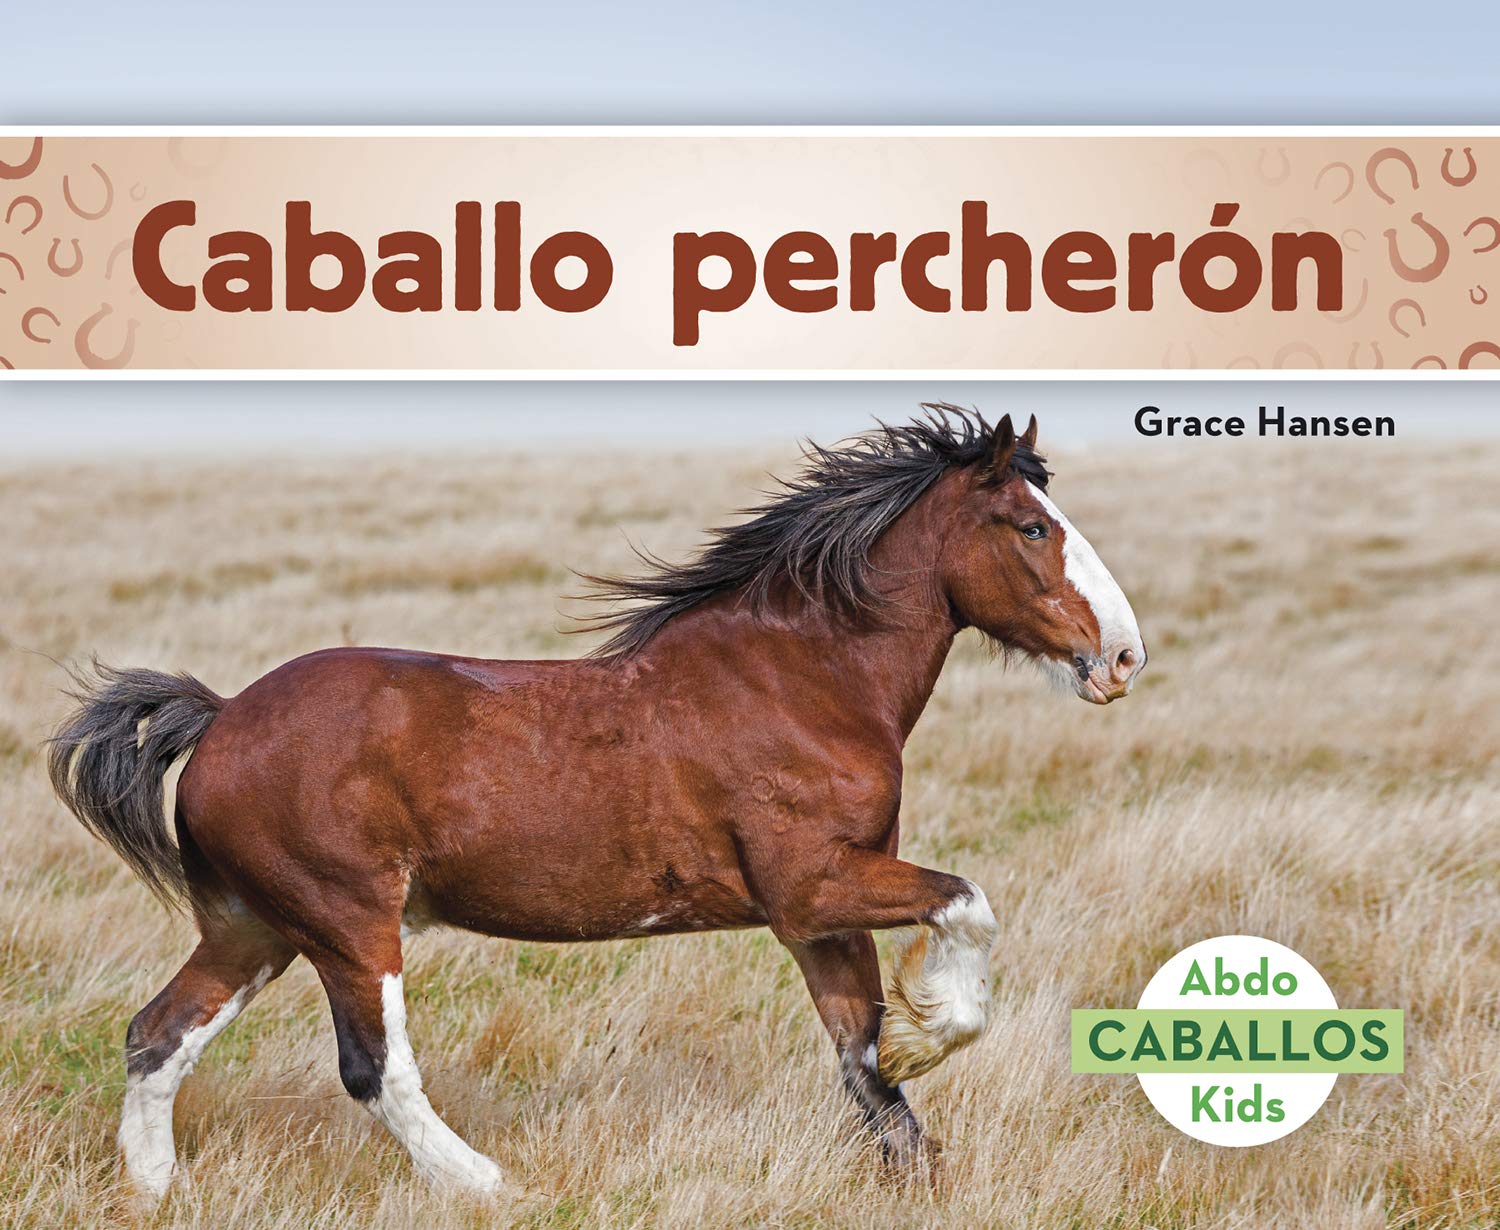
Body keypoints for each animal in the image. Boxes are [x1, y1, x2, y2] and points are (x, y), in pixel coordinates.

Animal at [47, 405, 1145, 1203]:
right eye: (1033, 527)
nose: (1124, 657)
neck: (803, 679)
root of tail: (221, 718)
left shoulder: (818, 918)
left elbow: (861, 1053)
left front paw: (917, 1164)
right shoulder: (812, 886)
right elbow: (966, 906)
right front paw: (938, 1022)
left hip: (253, 929)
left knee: (156, 1035)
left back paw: (155, 1191)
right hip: (348, 925)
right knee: (373, 1069)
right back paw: (487, 1183)